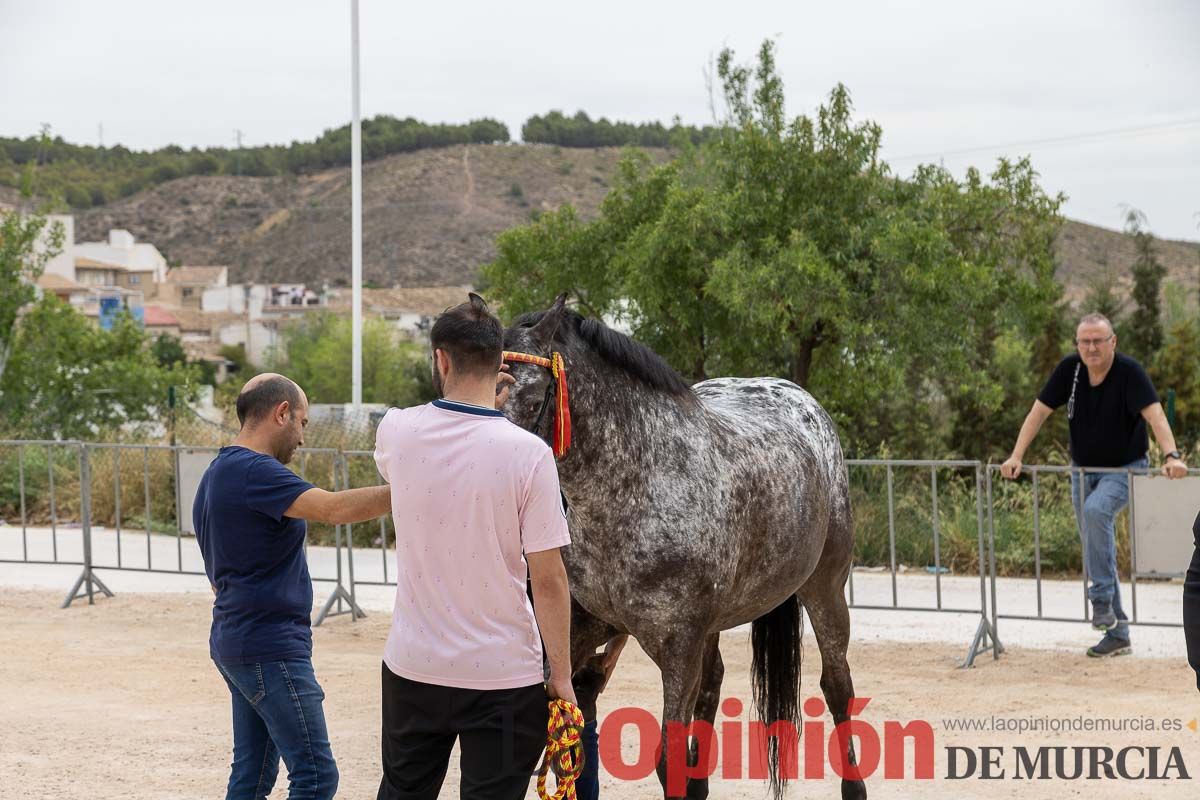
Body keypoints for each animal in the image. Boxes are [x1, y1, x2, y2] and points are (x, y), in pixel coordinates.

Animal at [501, 296, 868, 800]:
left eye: (534, 400)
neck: (635, 487)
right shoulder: (575, 633)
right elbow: (558, 746)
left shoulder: (678, 649)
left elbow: (667, 759)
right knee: (714, 682)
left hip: (824, 592)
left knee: (837, 686)